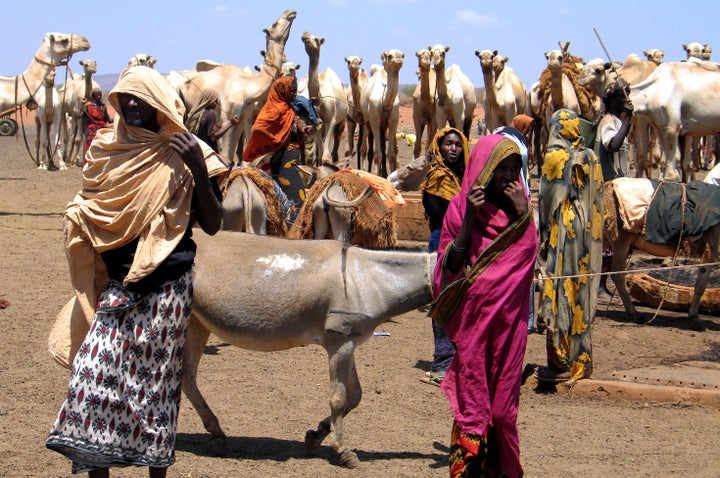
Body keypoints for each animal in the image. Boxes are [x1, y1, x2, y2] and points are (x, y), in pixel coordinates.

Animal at [179, 9, 296, 164]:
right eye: (274, 24)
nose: (290, 12)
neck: (248, 87)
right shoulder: (229, 115)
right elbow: (225, 155)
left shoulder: (242, 116)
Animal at [183, 231, 436, 466]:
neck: (370, 278)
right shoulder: (339, 345)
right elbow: (339, 398)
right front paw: (342, 450)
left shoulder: (349, 344)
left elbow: (355, 396)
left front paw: (316, 435)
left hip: (196, 323)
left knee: (187, 378)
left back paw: (217, 433)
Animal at [298, 31, 348, 165]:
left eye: (316, 39)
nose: (305, 34)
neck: (319, 100)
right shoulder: (316, 122)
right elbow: (320, 154)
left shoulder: (332, 119)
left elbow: (326, 156)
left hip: (342, 120)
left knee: (335, 146)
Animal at [360, 48, 404, 177]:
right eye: (389, 55)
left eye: (403, 55)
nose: (398, 58)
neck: (385, 101)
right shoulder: (374, 120)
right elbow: (377, 154)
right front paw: (377, 175)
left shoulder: (393, 121)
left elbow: (391, 154)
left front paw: (388, 175)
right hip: (367, 121)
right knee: (368, 147)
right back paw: (368, 170)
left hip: (383, 126)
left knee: (383, 145)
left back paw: (383, 172)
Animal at [600, 177, 720, 330]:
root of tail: (607, 186)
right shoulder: (711, 249)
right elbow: (701, 285)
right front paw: (695, 319)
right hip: (620, 239)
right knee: (617, 275)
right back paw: (635, 314)